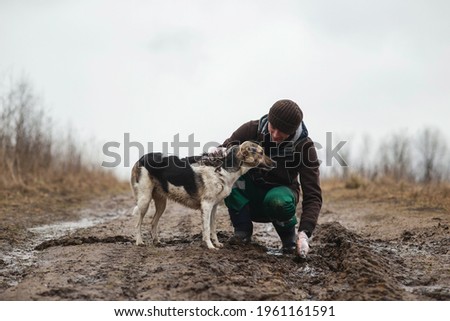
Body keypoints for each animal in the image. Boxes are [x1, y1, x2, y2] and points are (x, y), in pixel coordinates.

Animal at [130, 141, 274, 249]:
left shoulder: (214, 206)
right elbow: (206, 228)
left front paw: (217, 243)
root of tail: (141, 158)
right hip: (144, 200)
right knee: (138, 223)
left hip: (161, 203)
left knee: (153, 222)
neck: (222, 167)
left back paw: (156, 241)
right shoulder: (206, 205)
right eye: (261, 153)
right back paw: (139, 241)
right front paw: (210, 246)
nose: (275, 163)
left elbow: (213, 227)